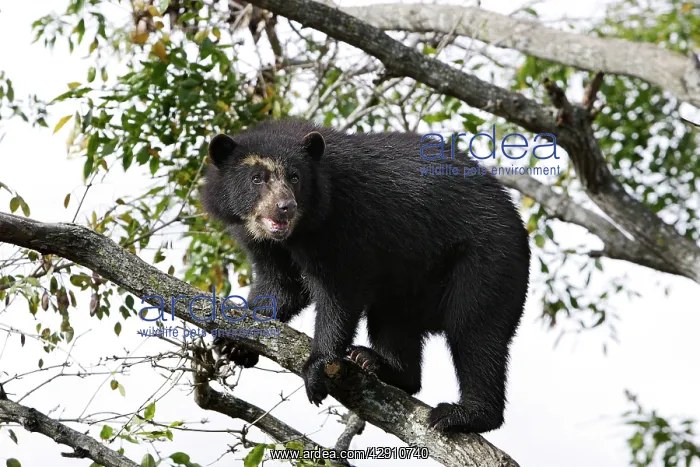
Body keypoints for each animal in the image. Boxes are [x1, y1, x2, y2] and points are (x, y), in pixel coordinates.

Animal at [200, 118, 531, 434]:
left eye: (295, 177)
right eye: (257, 178)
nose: (285, 207)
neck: (298, 232)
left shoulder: (343, 220)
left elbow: (340, 290)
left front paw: (317, 368)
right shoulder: (265, 243)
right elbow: (281, 286)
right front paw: (235, 343)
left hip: (487, 259)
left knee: (474, 330)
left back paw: (462, 414)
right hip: (409, 281)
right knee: (393, 321)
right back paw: (378, 363)